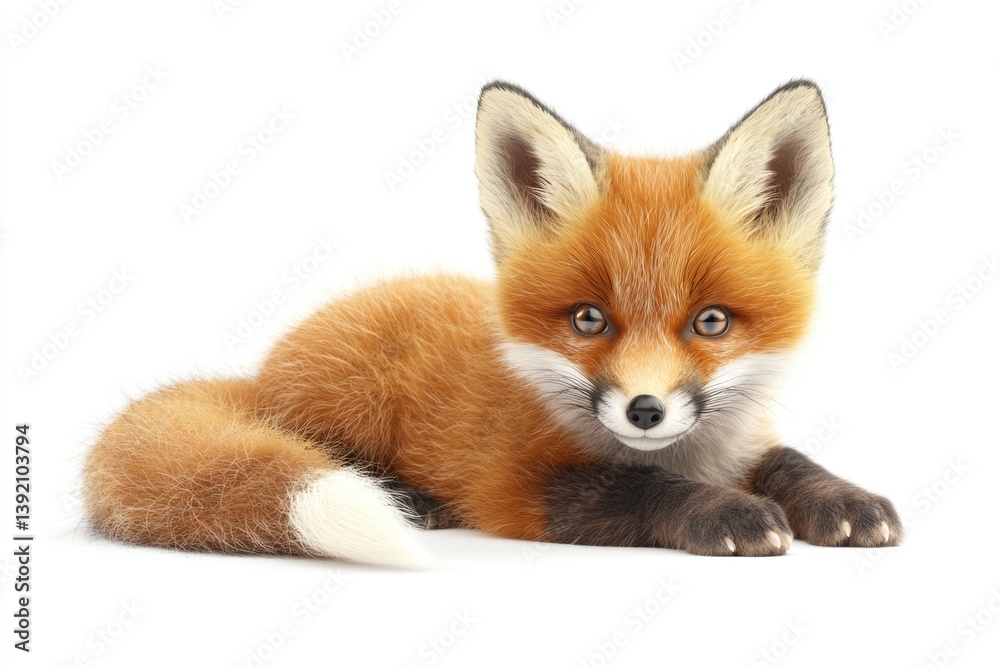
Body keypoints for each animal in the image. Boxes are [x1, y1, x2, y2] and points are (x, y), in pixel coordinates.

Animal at [84, 79, 903, 560]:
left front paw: (843, 500)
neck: (680, 454)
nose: (644, 410)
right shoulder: (517, 486)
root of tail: (257, 371)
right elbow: (635, 490)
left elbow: (787, 460)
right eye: (588, 319)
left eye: (710, 322)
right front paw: (728, 513)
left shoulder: (737, 441)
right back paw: (408, 500)